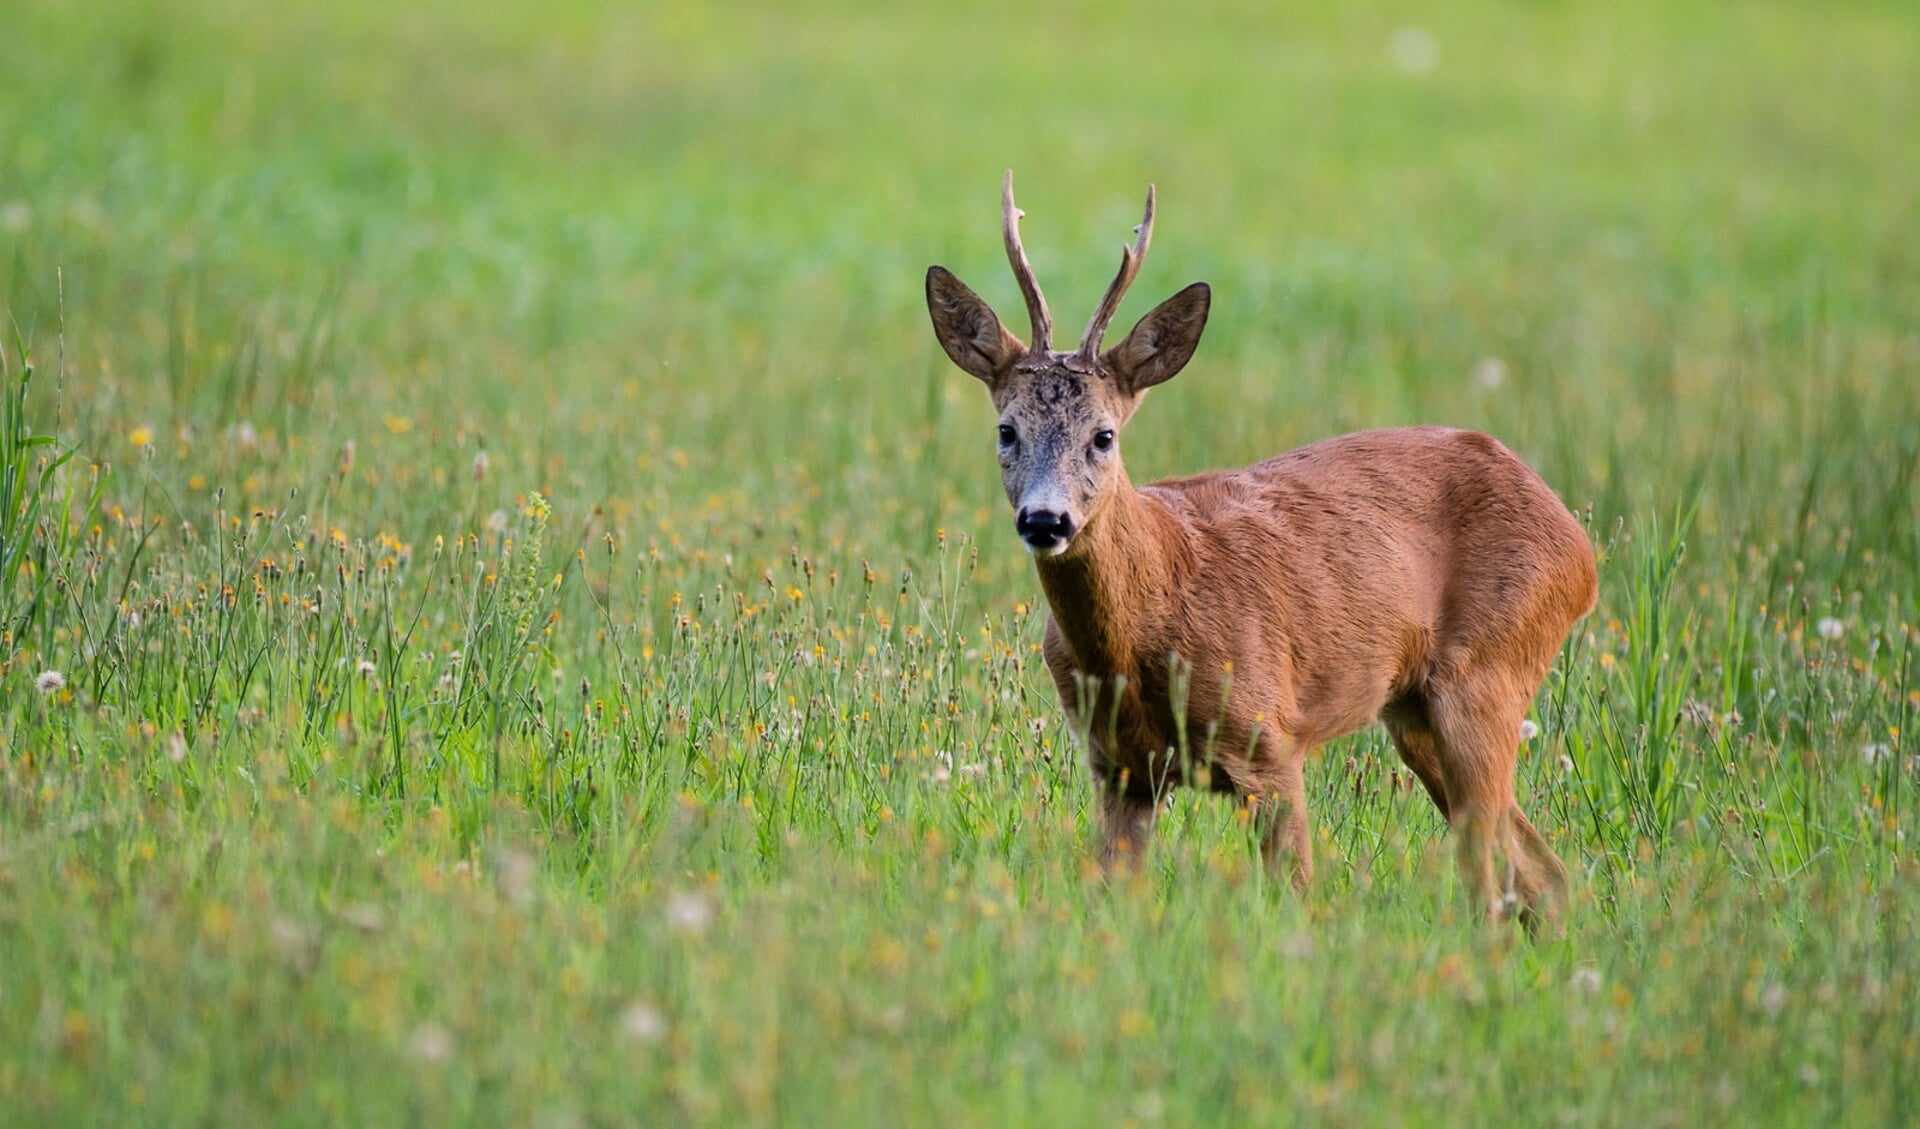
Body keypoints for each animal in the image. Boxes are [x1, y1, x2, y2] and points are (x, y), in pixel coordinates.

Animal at [921, 169, 1597, 925]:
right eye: (1007, 430)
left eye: (1104, 435)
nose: (1046, 520)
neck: (1150, 616)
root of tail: (1578, 542)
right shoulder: (1119, 765)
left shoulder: (1269, 740)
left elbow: (1298, 891)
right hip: (1417, 709)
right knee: (1543, 872)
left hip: (1488, 670)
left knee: (1493, 874)